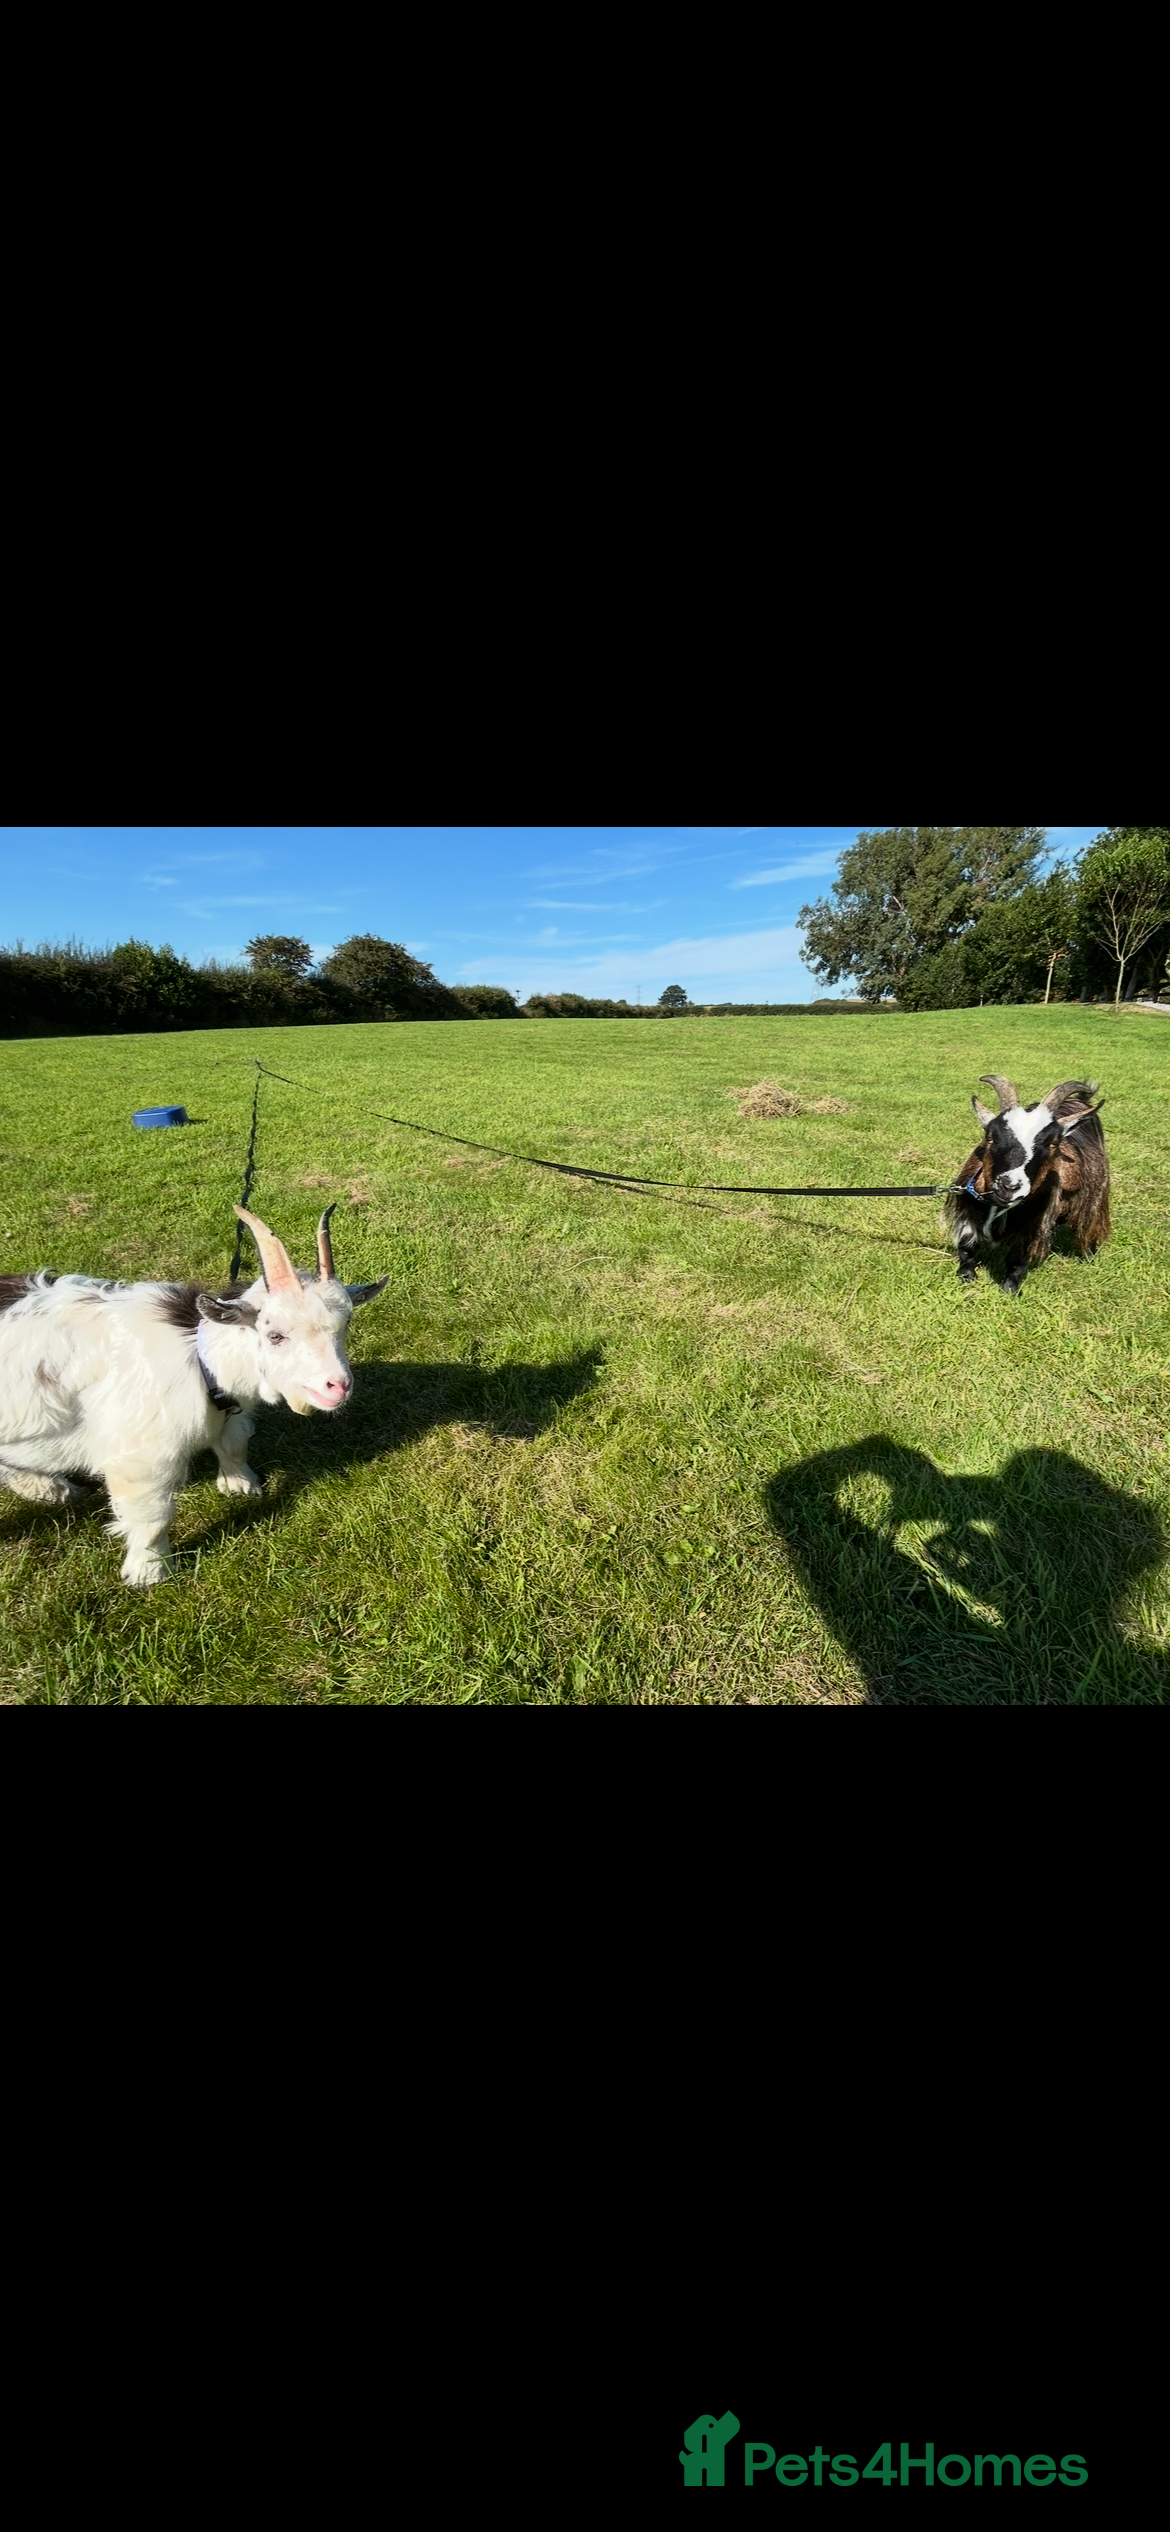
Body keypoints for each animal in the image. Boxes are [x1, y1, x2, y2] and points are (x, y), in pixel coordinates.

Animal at [0, 1204, 387, 1586]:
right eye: (275, 1335)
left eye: (346, 1324)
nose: (337, 1386)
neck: (201, 1360)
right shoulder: (142, 1456)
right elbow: (154, 1514)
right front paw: (150, 1572)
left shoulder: (231, 1413)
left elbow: (234, 1444)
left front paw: (239, 1485)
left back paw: (50, 1489)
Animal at [946, 1075, 1111, 1297]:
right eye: (990, 1137)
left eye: (1053, 1143)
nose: (1009, 1186)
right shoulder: (969, 1209)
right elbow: (967, 1246)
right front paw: (966, 1277)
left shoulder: (1033, 1222)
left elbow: (1017, 1259)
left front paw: (1009, 1290)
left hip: (1096, 1193)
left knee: (1089, 1222)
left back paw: (1088, 1256)